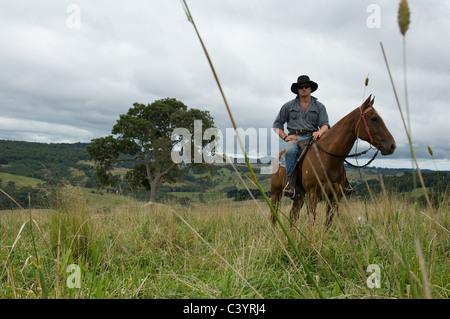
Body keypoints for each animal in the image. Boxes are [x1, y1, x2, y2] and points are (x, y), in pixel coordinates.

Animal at [268, 95, 396, 228]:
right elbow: (311, 223)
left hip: (299, 195)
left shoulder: (335, 197)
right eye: (374, 118)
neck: (327, 159)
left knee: (293, 214)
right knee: (274, 215)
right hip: (276, 193)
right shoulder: (312, 195)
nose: (392, 145)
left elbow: (327, 223)